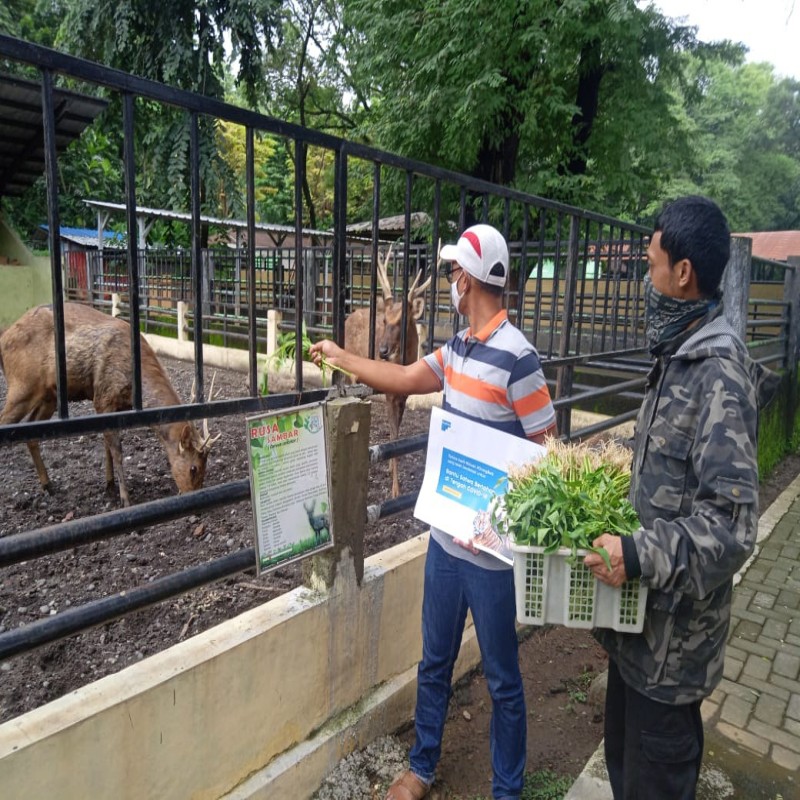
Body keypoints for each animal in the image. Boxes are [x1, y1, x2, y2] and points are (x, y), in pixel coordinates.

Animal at [0, 304, 220, 510]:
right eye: (193, 468)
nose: (194, 495)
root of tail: (4, 339)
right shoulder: (102, 398)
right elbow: (117, 450)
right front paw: (125, 498)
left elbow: (107, 446)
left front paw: (109, 484)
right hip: (22, 386)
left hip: (49, 396)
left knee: (32, 431)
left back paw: (48, 485)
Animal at [342, 244, 432, 496]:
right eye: (384, 321)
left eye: (403, 320)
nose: (382, 351)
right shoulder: (391, 395)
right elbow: (393, 438)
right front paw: (395, 491)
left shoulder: (404, 396)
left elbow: (397, 435)